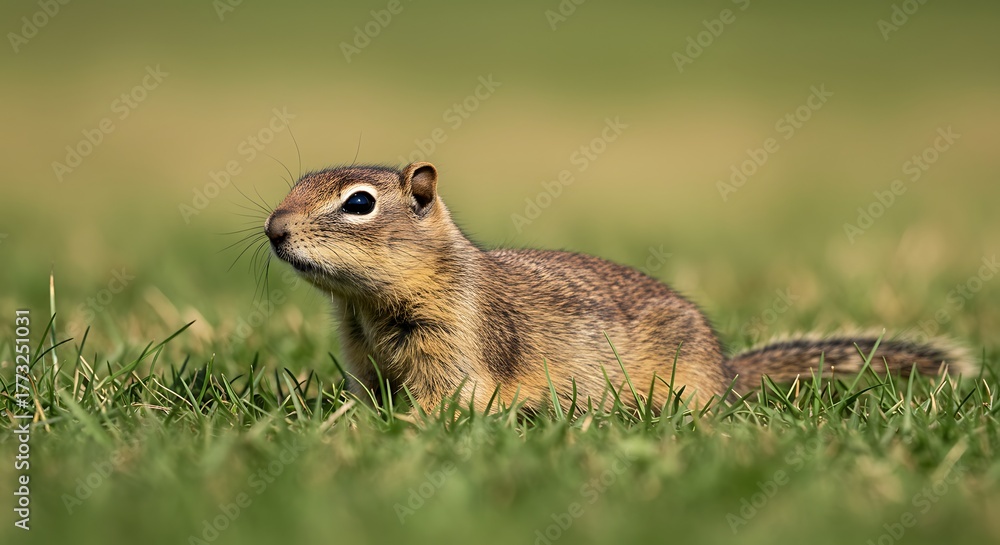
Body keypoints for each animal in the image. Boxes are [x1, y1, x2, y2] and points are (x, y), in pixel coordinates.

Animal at [263, 162, 970, 414]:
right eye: (295, 182)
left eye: (359, 203)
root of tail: (726, 371)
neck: (366, 308)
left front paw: (398, 430)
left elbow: (443, 403)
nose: (273, 229)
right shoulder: (365, 360)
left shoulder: (454, 350)